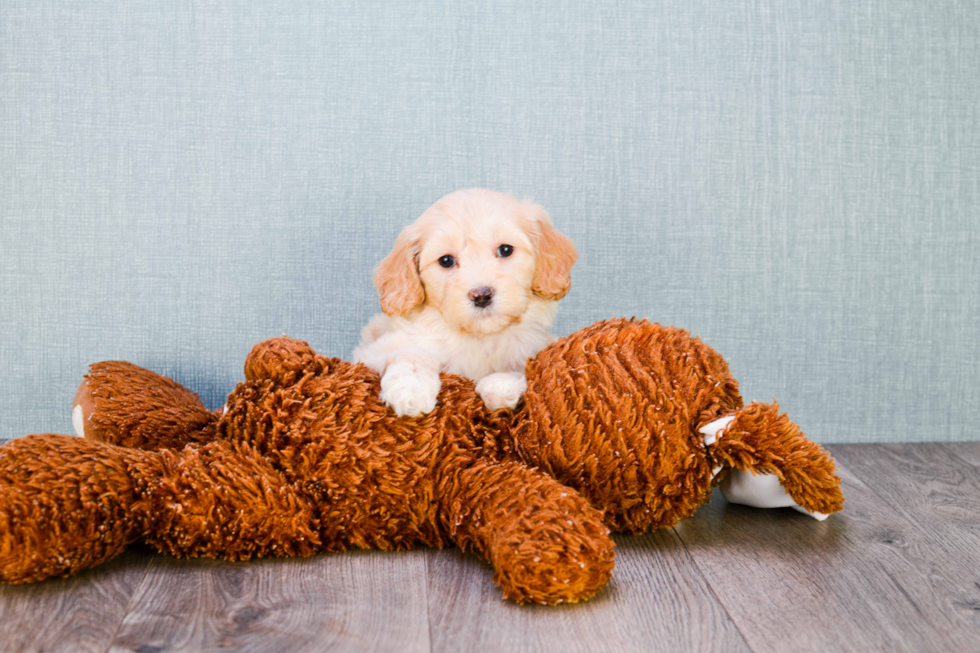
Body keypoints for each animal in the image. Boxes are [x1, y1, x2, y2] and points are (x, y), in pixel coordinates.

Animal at [354, 187, 580, 418]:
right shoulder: (370, 355)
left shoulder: (535, 347)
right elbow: (412, 353)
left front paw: (501, 383)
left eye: (506, 250)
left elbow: (519, 367)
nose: (481, 295)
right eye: (446, 261)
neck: (479, 338)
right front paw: (411, 388)